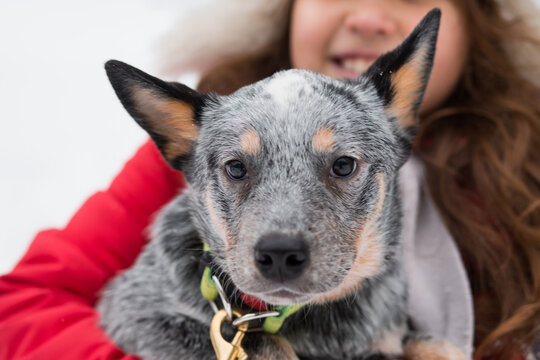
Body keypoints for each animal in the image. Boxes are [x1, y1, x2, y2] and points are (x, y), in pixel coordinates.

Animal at [98, 8, 468, 360]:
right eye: (236, 167)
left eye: (343, 165)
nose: (279, 254)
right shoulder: (133, 312)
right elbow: (258, 340)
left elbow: (436, 345)